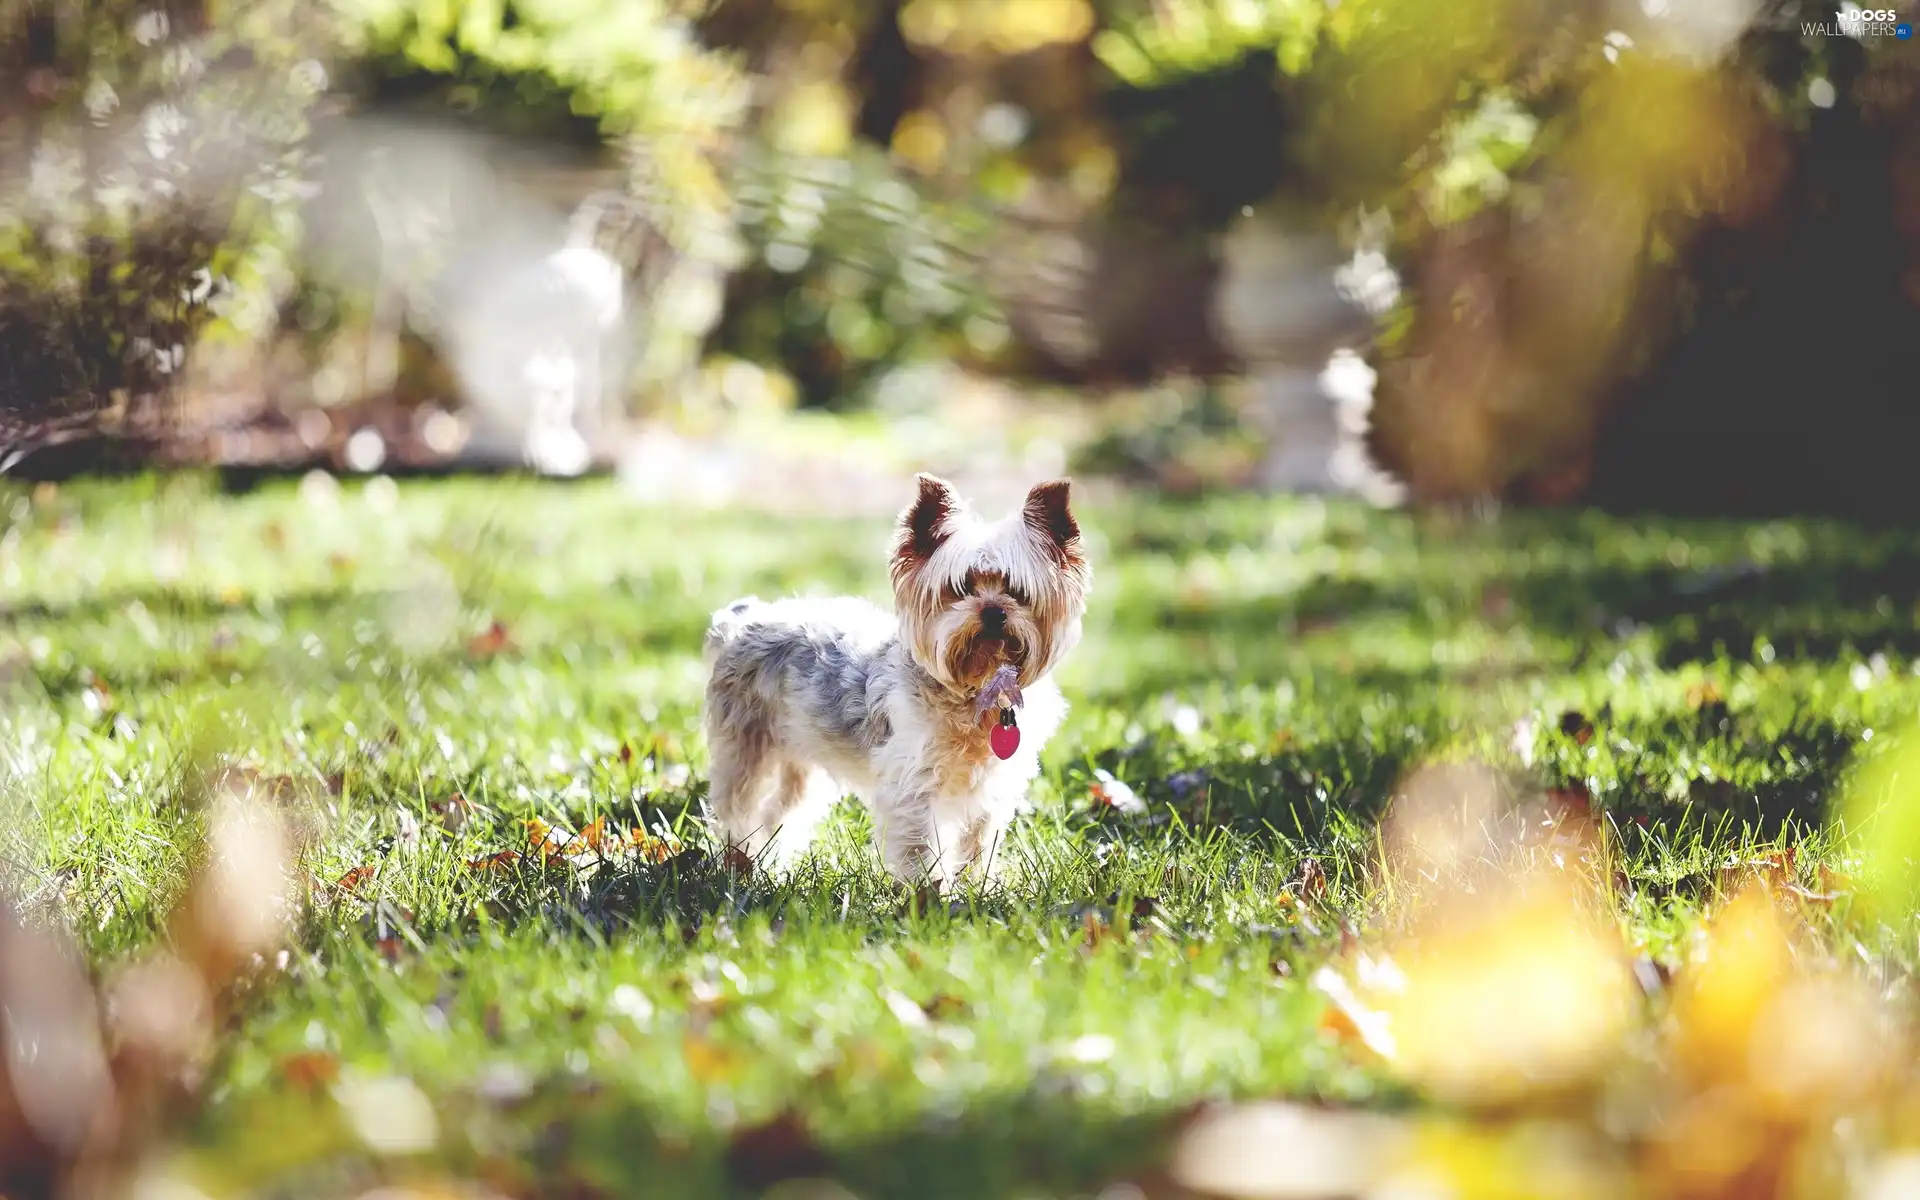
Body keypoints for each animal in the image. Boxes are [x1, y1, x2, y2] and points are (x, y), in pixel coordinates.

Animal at [702, 472, 1098, 883]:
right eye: (960, 588)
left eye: (1017, 591)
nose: (993, 611)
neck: (977, 689)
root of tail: (743, 618)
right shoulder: (914, 782)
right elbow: (921, 845)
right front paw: (930, 891)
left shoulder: (992, 789)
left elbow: (978, 843)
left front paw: (979, 887)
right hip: (746, 744)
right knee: (739, 806)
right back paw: (740, 863)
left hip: (801, 756)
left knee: (780, 811)